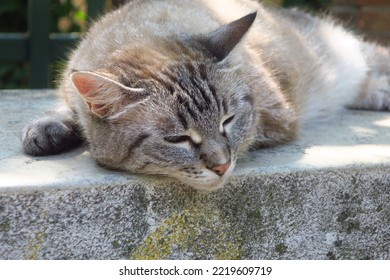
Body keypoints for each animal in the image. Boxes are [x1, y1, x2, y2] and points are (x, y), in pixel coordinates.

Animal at [22, 0, 390, 190]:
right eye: (177, 139)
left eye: (228, 121)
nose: (222, 167)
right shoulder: (72, 87)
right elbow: (65, 108)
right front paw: (46, 130)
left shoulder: (277, 119)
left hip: (350, 55)